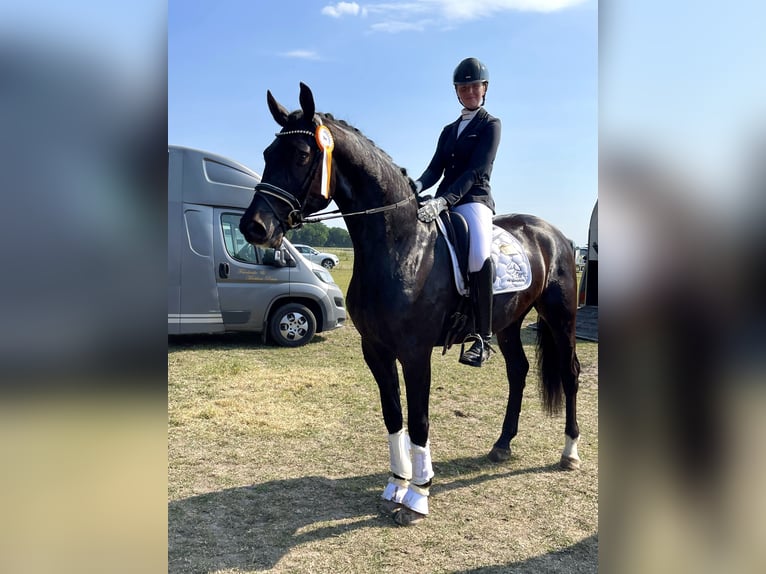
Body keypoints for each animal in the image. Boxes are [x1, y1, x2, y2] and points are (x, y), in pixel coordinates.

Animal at [240, 83, 584, 528]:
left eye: (300, 155)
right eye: (268, 154)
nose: (254, 227)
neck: (400, 246)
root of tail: (554, 233)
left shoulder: (415, 352)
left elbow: (419, 419)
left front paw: (418, 496)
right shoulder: (376, 349)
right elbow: (393, 416)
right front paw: (395, 485)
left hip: (561, 317)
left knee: (570, 373)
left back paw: (569, 453)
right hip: (507, 324)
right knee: (518, 372)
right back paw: (502, 444)